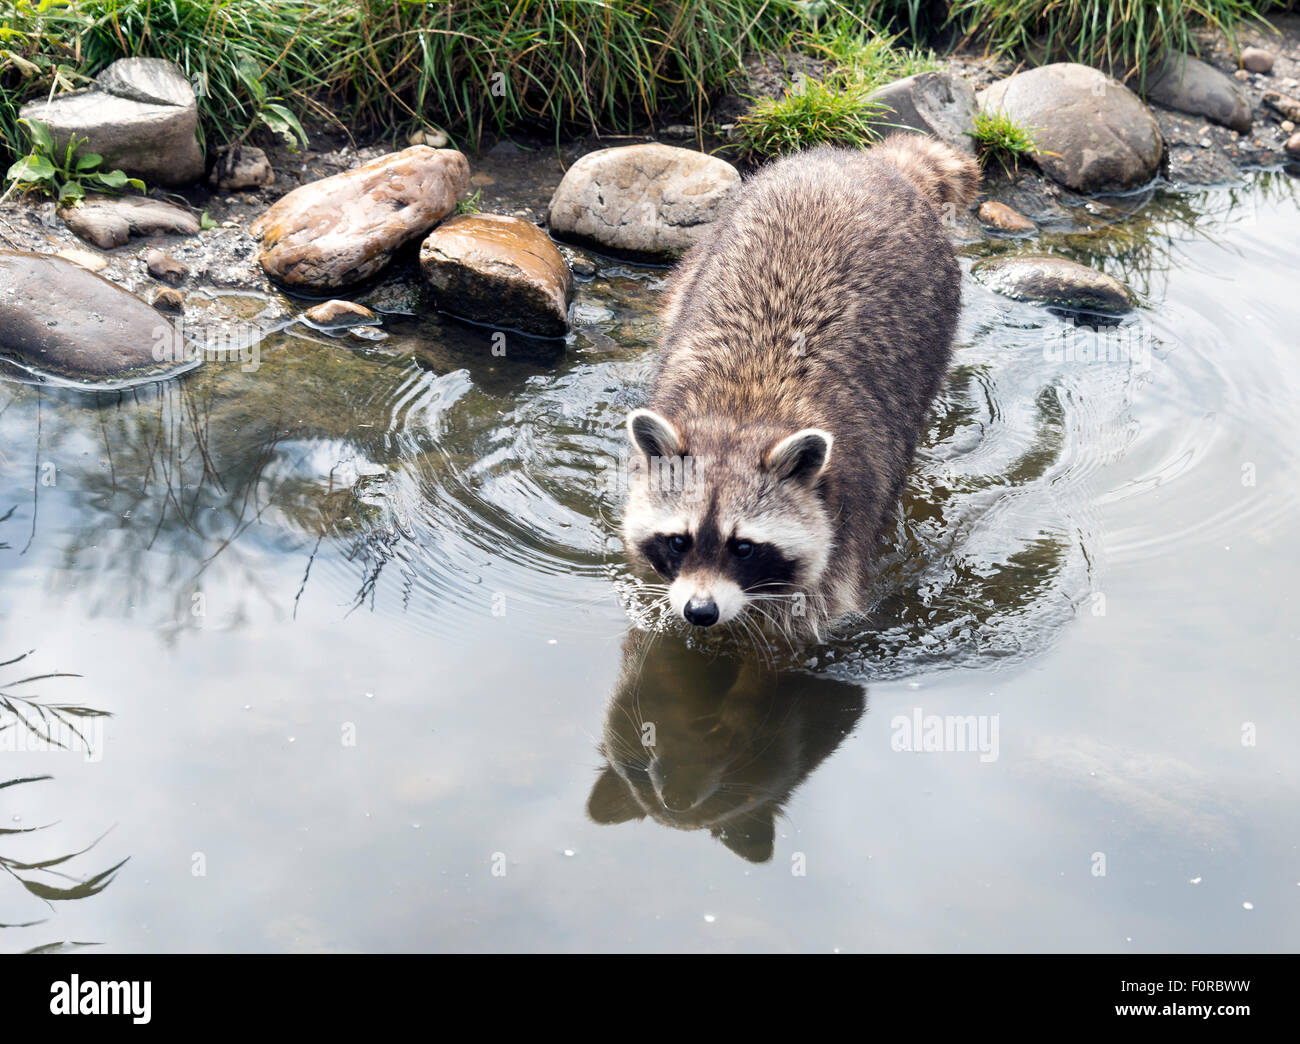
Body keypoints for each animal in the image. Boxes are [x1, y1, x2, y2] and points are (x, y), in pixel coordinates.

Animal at [623, 134, 979, 640]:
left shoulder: (847, 517)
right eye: (678, 540)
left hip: (938, 314)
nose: (700, 611)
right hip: (704, 250)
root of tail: (866, 161)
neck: (744, 407)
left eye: (744, 547)